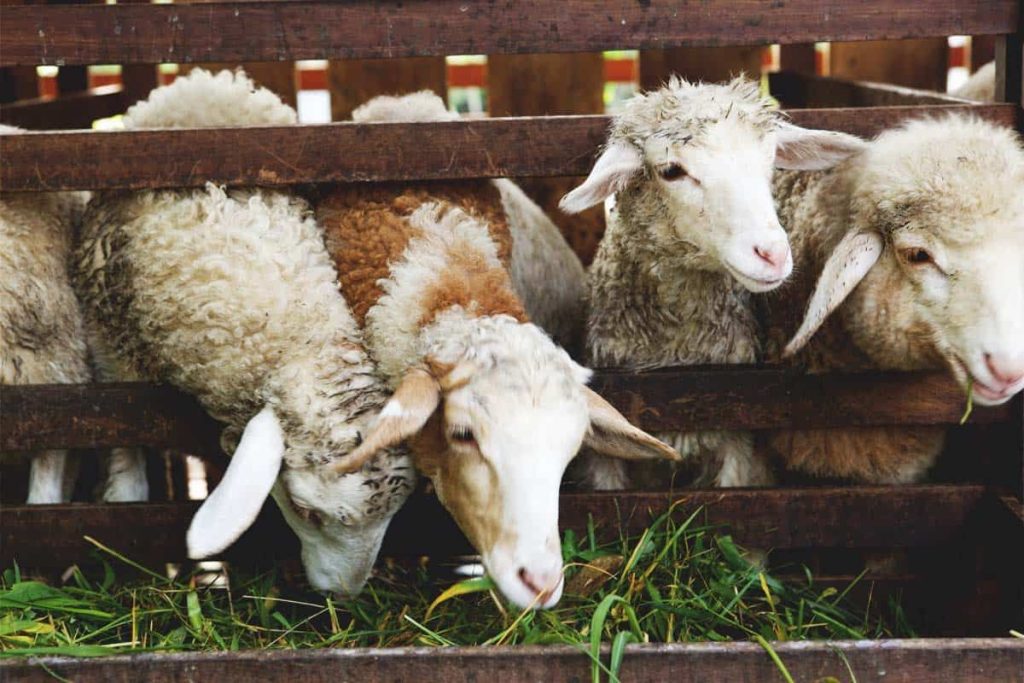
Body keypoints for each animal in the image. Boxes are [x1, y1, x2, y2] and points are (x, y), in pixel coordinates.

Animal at [559, 77, 865, 490]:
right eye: (671, 170)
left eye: (770, 159)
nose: (772, 253)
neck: (680, 364)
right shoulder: (605, 461)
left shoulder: (737, 442)